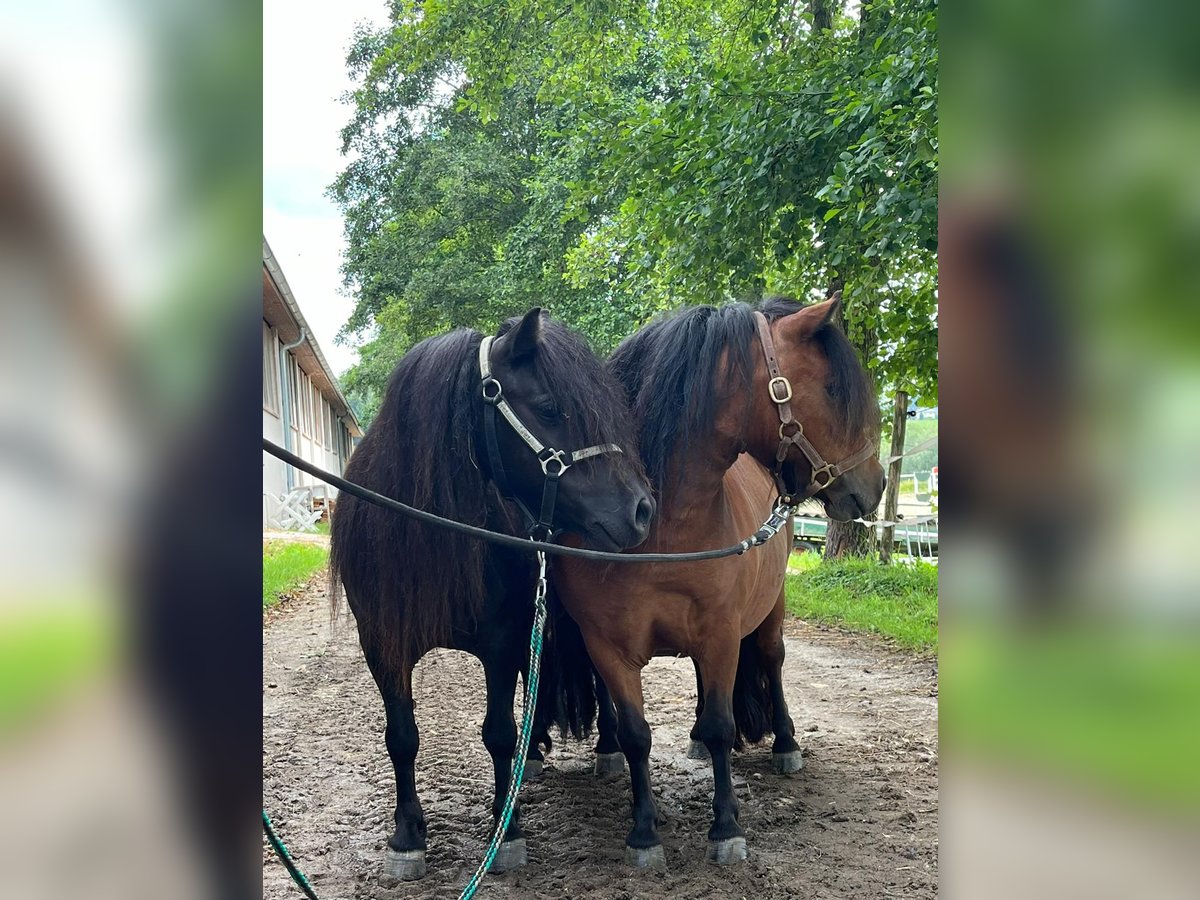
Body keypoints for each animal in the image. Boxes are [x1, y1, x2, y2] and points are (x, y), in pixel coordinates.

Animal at [331, 309, 657, 883]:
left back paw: (605, 747)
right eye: (549, 407)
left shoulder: (500, 642)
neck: (431, 530)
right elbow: (402, 737)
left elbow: (499, 732)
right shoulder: (383, 645)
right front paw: (407, 836)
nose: (641, 509)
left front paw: (507, 833)